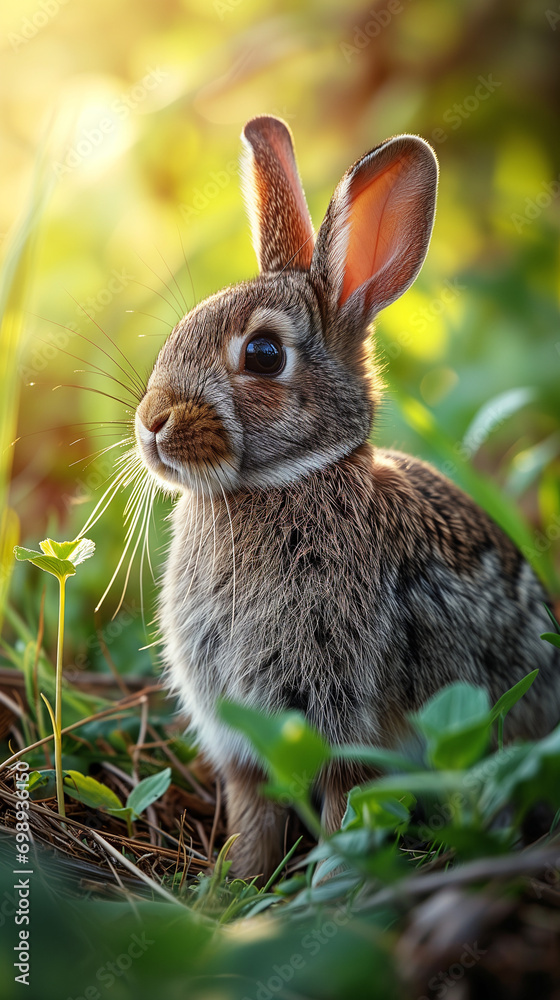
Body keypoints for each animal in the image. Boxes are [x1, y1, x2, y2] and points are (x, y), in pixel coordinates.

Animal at [134, 115, 560, 881]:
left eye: (264, 354)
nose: (152, 422)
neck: (287, 482)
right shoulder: (242, 738)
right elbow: (254, 813)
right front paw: (232, 888)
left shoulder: (350, 721)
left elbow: (346, 811)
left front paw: (330, 891)